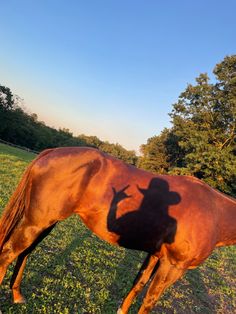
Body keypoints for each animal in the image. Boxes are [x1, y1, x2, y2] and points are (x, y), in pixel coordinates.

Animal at [0, 146, 235, 312]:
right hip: (36, 223)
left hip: (46, 223)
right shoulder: (173, 266)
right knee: (8, 253)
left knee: (24, 253)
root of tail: (52, 152)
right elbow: (149, 300)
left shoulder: (155, 256)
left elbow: (137, 285)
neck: (215, 212)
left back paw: (17, 295)